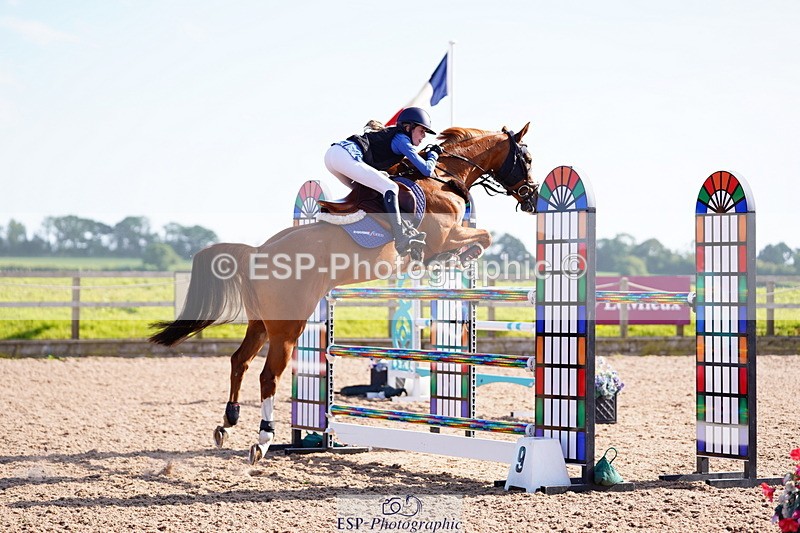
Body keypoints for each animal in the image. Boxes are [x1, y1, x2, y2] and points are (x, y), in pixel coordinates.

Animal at [148, 123, 537, 464]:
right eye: (528, 158)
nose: (532, 198)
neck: (440, 176)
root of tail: (258, 251)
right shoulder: (447, 234)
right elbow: (482, 237)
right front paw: (455, 257)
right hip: (288, 327)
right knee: (268, 375)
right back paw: (263, 438)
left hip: (260, 322)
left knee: (239, 361)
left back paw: (228, 423)